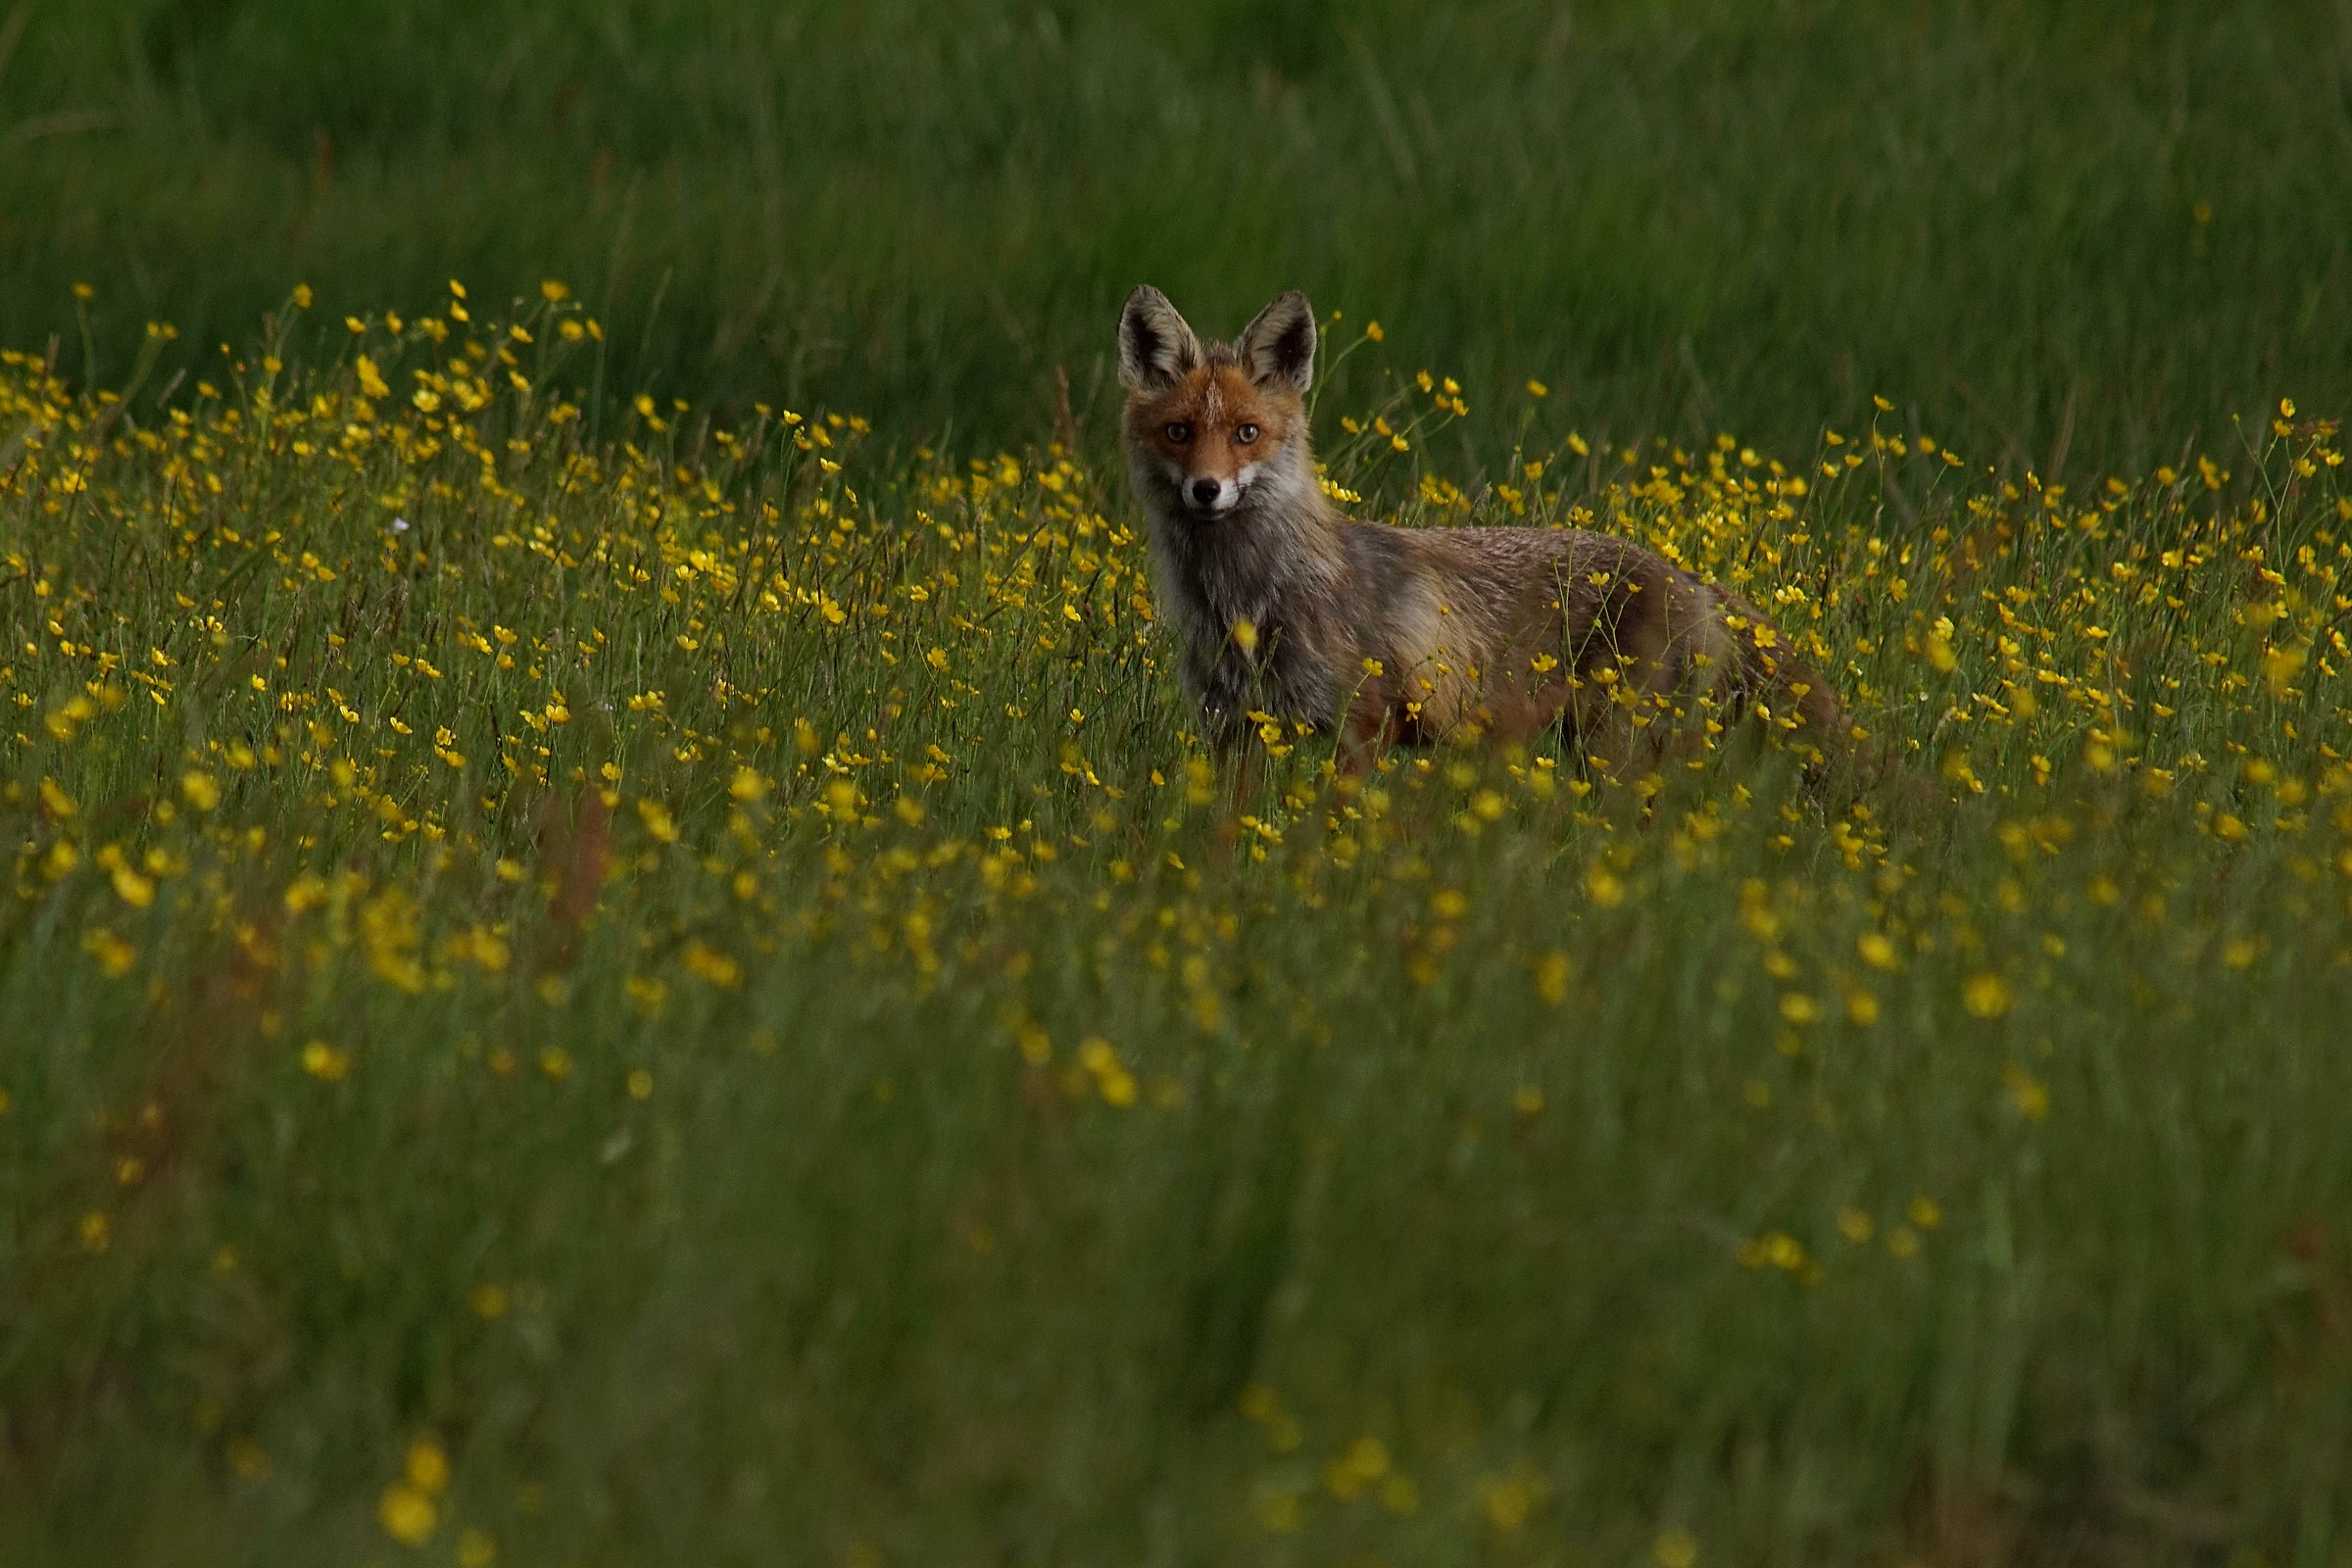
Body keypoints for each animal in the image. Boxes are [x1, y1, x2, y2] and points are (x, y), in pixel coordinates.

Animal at [1116, 285, 1853, 788]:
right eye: (1179, 432)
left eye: (1247, 432)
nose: (1206, 490)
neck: (1248, 602)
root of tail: (1685, 573)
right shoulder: (1232, 728)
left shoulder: (1362, 726)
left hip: (1614, 750)